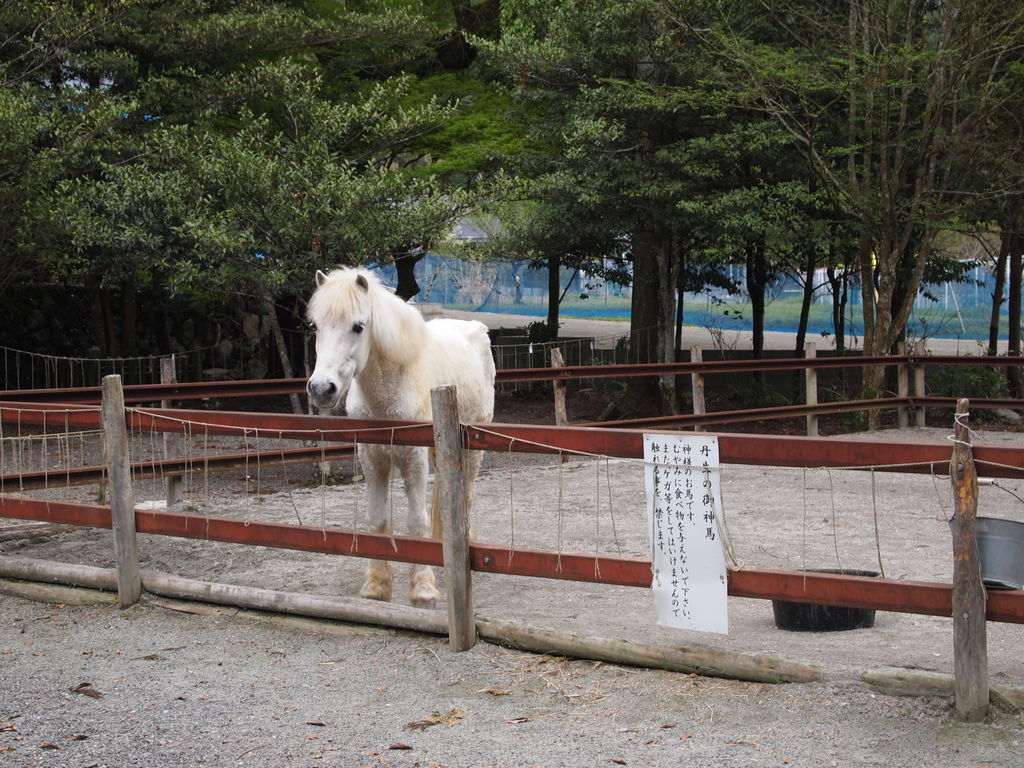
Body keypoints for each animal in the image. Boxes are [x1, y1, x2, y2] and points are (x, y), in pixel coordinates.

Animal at [303, 268, 495, 610]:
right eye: (315, 326)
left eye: (358, 326)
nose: (322, 389)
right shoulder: (373, 459)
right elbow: (377, 519)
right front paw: (376, 586)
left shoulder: (413, 461)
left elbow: (416, 521)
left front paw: (423, 588)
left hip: (472, 451)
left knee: (466, 496)